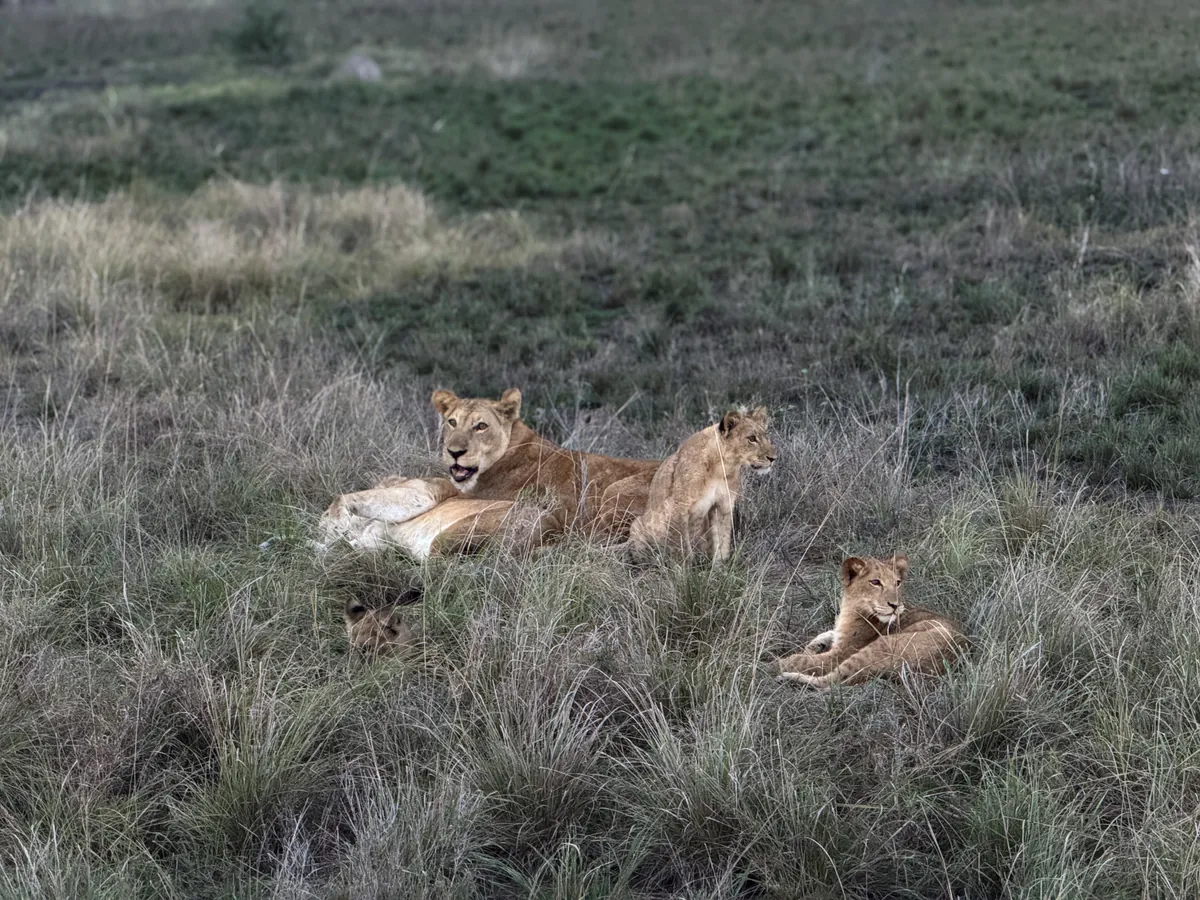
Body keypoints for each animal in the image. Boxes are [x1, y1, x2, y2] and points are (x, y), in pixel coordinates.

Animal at [627, 407, 776, 563]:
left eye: (766, 437)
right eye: (752, 438)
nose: (773, 458)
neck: (722, 467)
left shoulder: (723, 505)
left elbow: (722, 544)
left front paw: (719, 568)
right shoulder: (678, 506)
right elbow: (682, 550)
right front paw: (684, 569)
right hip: (637, 526)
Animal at [774, 555, 968, 688]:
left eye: (897, 583)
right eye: (875, 582)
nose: (895, 605)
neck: (849, 607)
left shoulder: (840, 654)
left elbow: (798, 660)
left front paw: (770, 665)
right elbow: (825, 636)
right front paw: (817, 644)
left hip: (880, 646)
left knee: (831, 683)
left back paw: (786, 677)